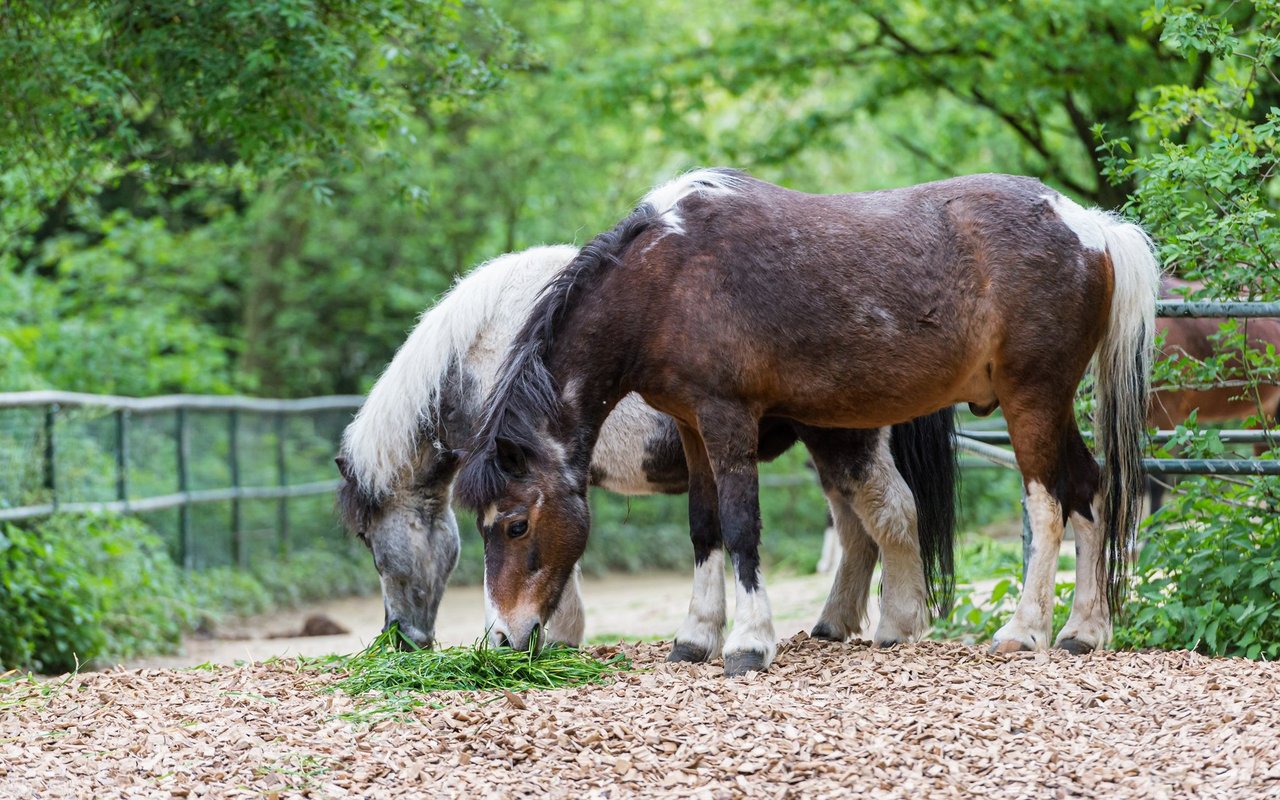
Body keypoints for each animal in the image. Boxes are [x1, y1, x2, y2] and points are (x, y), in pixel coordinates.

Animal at [335, 247, 957, 652]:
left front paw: (557, 639)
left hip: (844, 441)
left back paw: (896, 627)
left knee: (891, 515)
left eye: (368, 540)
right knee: (857, 533)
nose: (400, 640)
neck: (480, 355)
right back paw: (833, 624)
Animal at [460, 168, 1162, 675]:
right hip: (1051, 406)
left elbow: (741, 526)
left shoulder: (728, 420)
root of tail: (1090, 227)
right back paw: (1083, 631)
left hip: (1032, 399)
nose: (503, 638)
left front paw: (748, 645)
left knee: (1047, 504)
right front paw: (695, 638)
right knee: (1089, 491)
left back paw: (1024, 630)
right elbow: (703, 528)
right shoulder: (691, 427)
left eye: (517, 525)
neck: (665, 279)